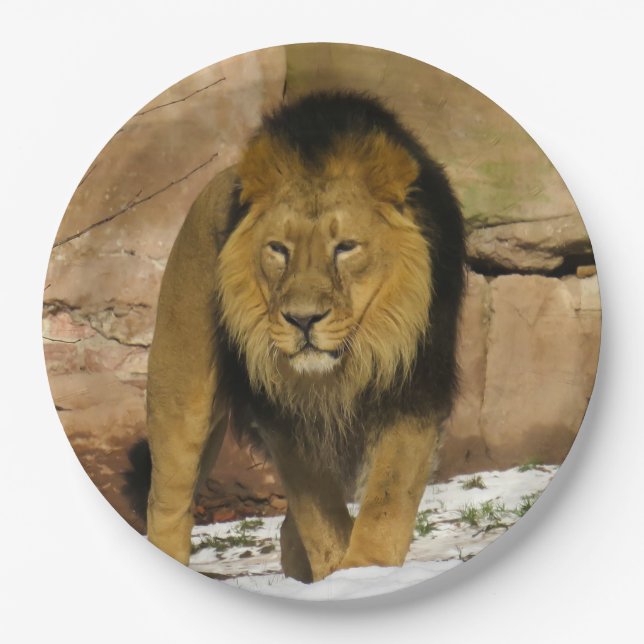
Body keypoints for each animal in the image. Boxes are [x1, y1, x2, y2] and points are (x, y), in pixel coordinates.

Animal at [145, 91, 465, 583]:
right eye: (279, 249)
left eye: (346, 247)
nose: (302, 319)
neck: (345, 366)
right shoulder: (283, 416)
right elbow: (321, 517)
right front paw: (341, 574)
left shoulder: (414, 392)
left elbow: (386, 501)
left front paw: (362, 574)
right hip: (181, 397)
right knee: (167, 505)